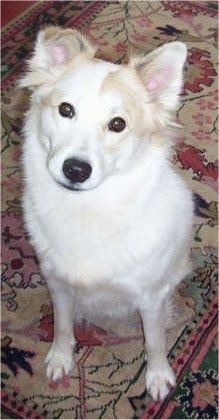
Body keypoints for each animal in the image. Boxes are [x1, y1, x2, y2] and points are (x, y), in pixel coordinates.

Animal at [20, 26, 192, 400]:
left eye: (117, 124)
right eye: (65, 109)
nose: (76, 170)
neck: (88, 210)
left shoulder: (150, 298)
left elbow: (155, 342)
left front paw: (158, 376)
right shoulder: (57, 283)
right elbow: (62, 325)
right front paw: (61, 356)